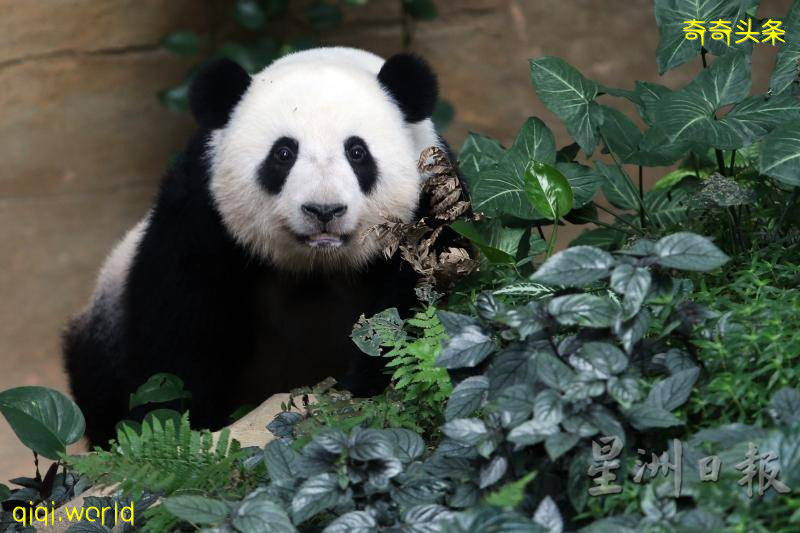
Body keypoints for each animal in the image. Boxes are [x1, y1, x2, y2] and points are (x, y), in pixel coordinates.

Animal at [65, 47, 460, 444]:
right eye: (283, 154)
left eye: (357, 152)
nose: (323, 210)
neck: (318, 265)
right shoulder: (201, 218)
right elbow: (175, 336)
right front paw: (178, 425)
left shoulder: (430, 212)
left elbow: (408, 314)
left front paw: (361, 388)